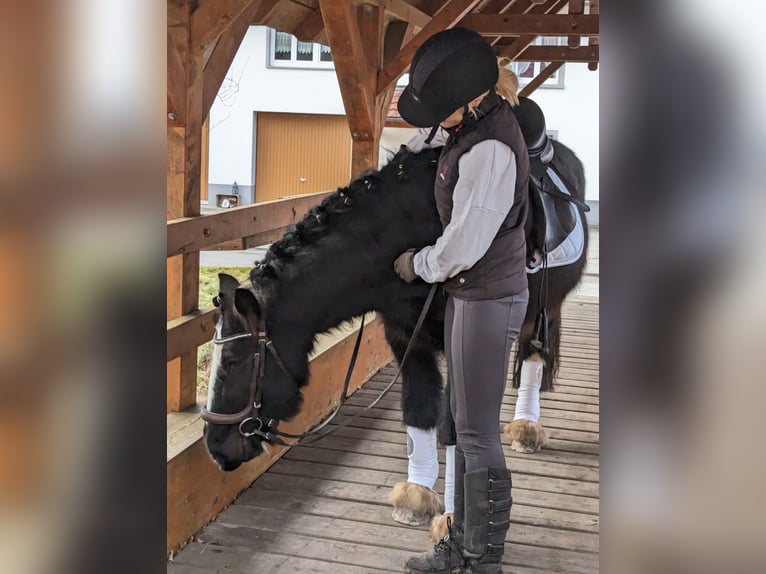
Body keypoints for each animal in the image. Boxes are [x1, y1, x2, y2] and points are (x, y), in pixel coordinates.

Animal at [202, 122, 588, 536]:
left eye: (235, 361)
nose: (216, 447)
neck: (411, 234)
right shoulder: (406, 339)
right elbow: (418, 412)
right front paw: (416, 496)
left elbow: (454, 428)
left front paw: (452, 515)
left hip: (544, 308)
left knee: (532, 357)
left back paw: (525, 428)